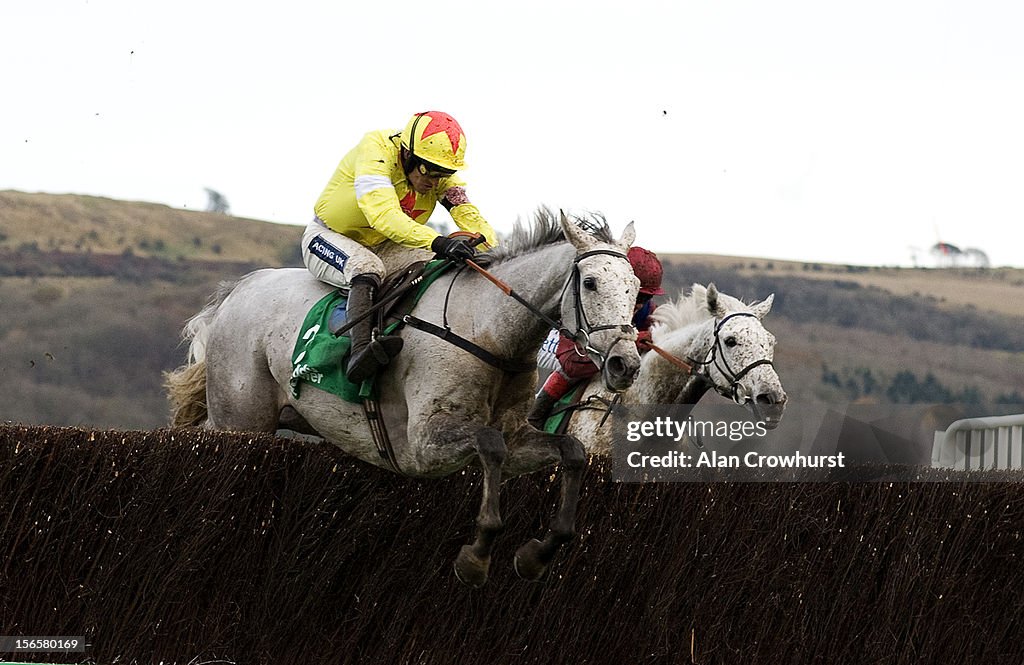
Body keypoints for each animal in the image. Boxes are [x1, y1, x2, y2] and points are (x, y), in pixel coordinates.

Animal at [166, 210, 638, 582]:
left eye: (634, 287)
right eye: (591, 283)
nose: (625, 364)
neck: (487, 330)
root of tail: (241, 289)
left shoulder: (520, 437)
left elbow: (571, 451)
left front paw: (537, 554)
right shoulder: (425, 445)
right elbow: (490, 445)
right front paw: (476, 555)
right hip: (241, 421)